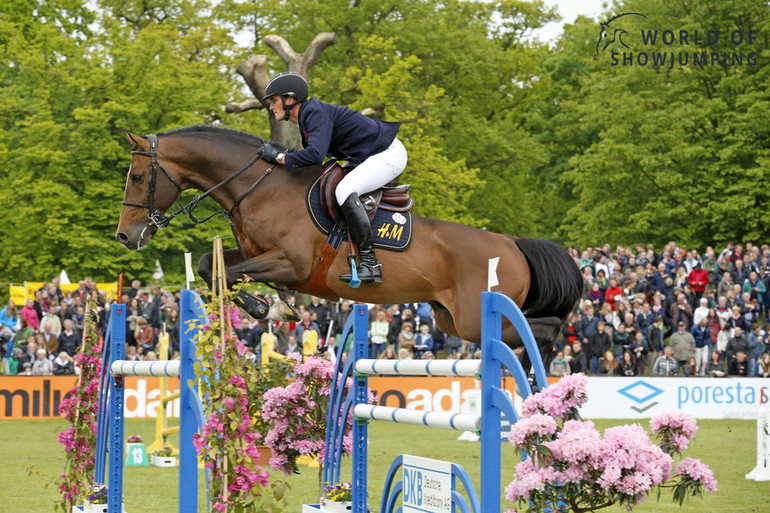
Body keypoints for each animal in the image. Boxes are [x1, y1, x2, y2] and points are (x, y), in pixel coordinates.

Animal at [115, 126, 584, 362]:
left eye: (137, 177)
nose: (125, 236)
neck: (259, 188)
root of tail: (513, 244)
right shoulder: (256, 255)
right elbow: (214, 269)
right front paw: (276, 306)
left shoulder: (291, 264)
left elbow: (229, 275)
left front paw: (270, 308)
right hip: (449, 318)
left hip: (473, 318)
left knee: (544, 328)